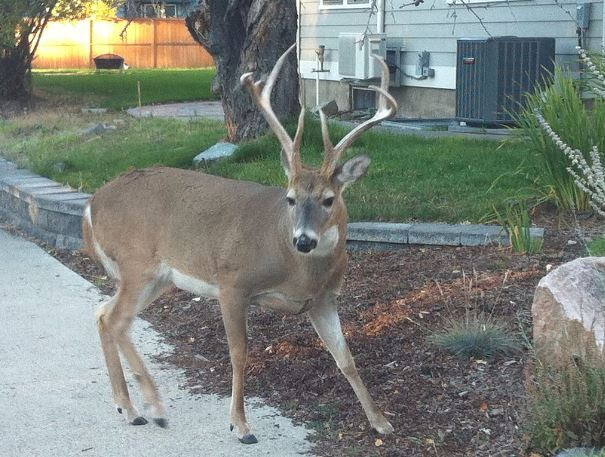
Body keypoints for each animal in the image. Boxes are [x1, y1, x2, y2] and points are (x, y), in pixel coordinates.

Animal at [85, 44, 396, 444]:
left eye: (329, 200)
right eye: (291, 198)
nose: (303, 240)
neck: (294, 266)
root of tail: (92, 204)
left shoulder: (323, 299)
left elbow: (346, 358)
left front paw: (381, 421)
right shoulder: (233, 283)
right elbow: (239, 353)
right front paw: (241, 425)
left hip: (157, 279)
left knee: (103, 314)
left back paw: (128, 407)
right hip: (137, 263)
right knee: (117, 320)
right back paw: (153, 408)